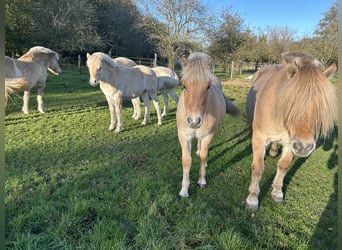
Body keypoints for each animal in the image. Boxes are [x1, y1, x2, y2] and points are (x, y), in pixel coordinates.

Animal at [176, 52, 240, 197]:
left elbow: (204, 156)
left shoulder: (208, 135)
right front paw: (184, 190)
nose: (194, 121)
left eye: (208, 87)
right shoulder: (183, 135)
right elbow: (186, 160)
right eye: (183, 86)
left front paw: (201, 181)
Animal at [246, 51, 336, 211]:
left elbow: (284, 165)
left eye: (321, 106)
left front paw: (277, 192)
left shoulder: (290, 143)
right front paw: (252, 199)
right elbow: (258, 168)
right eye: (291, 103)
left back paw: (273, 151)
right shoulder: (260, 138)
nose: (304, 147)